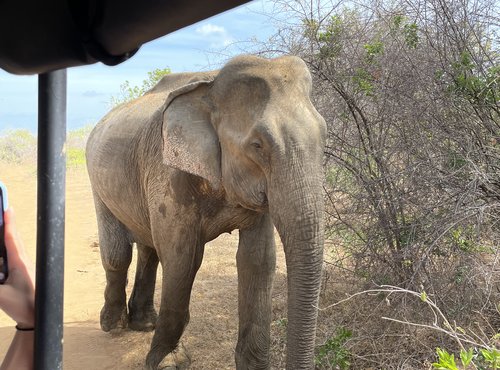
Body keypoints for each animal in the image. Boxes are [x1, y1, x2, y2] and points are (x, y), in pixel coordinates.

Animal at [86, 53, 328, 368]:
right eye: (257, 145)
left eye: (324, 135)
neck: (209, 90)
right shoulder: (169, 171)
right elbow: (183, 259)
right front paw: (166, 362)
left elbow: (258, 259)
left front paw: (252, 365)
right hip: (97, 179)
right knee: (118, 252)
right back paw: (114, 325)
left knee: (148, 247)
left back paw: (144, 323)